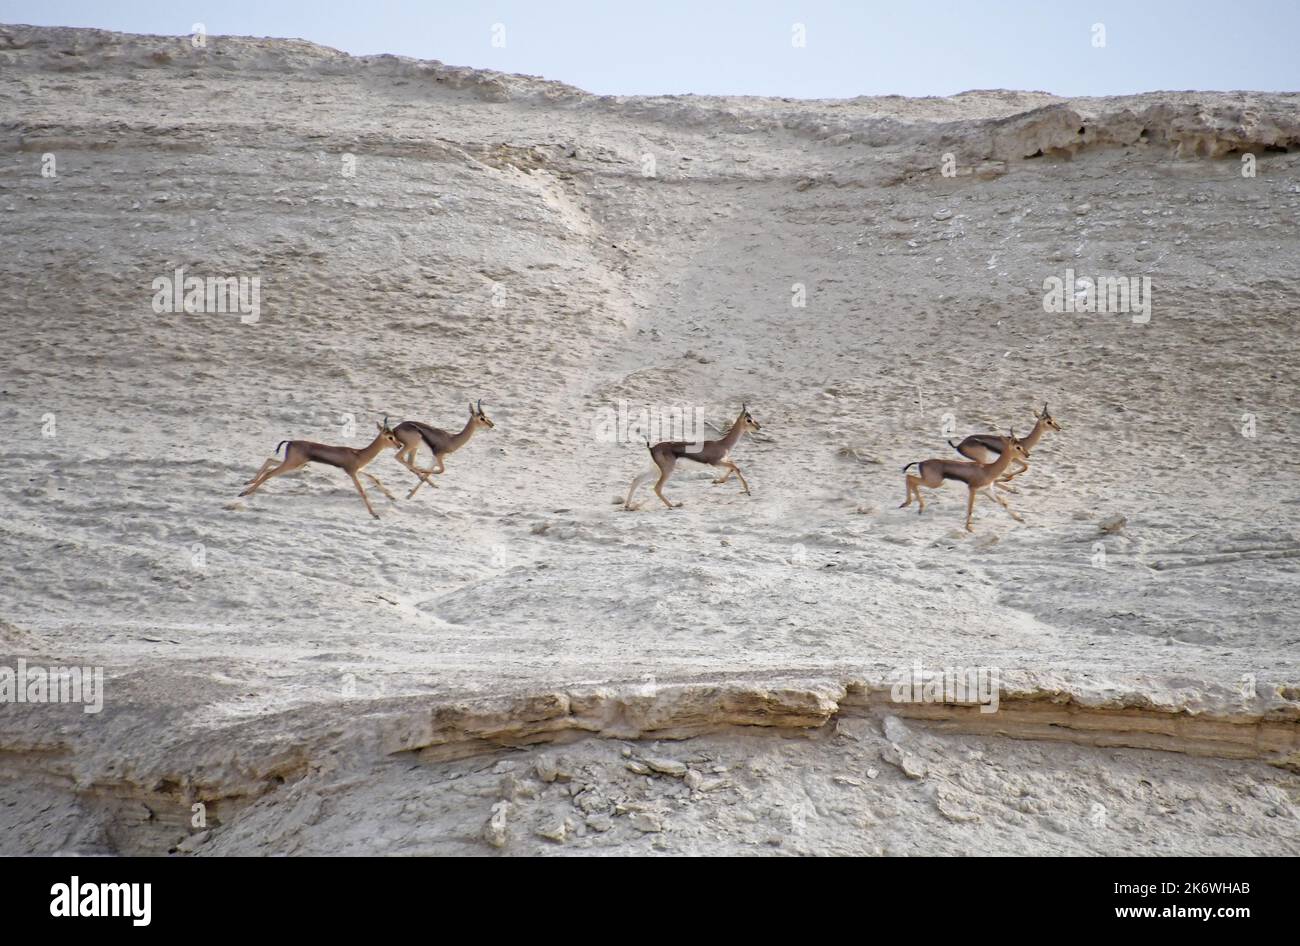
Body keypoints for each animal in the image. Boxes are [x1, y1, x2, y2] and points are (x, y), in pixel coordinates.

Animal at [239, 418, 403, 519]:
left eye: (394, 435)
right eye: (389, 437)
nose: (399, 445)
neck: (358, 454)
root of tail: (291, 441)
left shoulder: (359, 471)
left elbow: (375, 479)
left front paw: (392, 497)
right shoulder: (352, 473)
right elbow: (362, 492)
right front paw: (374, 514)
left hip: (296, 465)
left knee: (270, 461)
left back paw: (248, 482)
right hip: (292, 465)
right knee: (269, 473)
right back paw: (244, 493)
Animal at [624, 404, 761, 510]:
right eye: (749, 420)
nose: (759, 427)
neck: (722, 444)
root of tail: (651, 448)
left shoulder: (723, 460)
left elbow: (732, 466)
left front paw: (717, 481)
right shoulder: (715, 462)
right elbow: (735, 467)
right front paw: (747, 491)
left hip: (655, 470)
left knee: (637, 480)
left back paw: (628, 506)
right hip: (667, 471)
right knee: (657, 487)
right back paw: (673, 505)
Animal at [900, 431, 1031, 532]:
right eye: (1017, 447)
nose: (1027, 455)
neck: (988, 469)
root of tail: (921, 462)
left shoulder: (988, 489)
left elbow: (1004, 503)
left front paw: (1019, 519)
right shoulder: (973, 489)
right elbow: (970, 509)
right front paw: (969, 528)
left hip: (933, 483)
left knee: (910, 479)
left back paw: (913, 506)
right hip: (933, 483)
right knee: (910, 478)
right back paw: (911, 505)